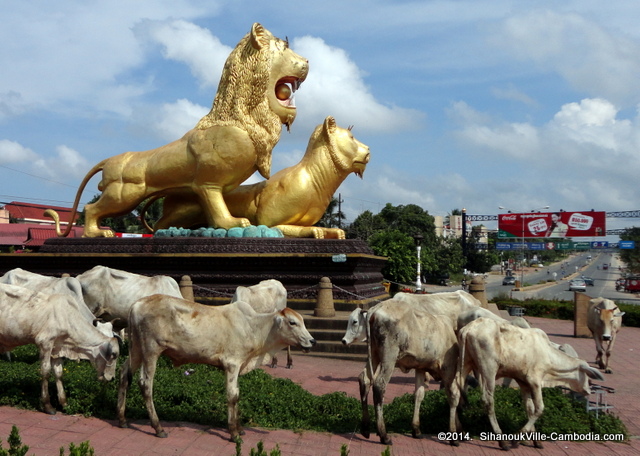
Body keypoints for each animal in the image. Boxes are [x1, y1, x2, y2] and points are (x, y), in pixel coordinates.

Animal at [0, 284, 119, 416]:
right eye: (114, 354)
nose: (112, 378)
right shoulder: (45, 343)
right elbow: (46, 371)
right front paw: (48, 406)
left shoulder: (57, 349)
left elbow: (59, 373)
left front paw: (64, 403)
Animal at [116, 296, 316, 442]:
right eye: (292, 322)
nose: (312, 341)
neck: (255, 328)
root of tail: (137, 304)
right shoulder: (232, 364)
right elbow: (232, 396)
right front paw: (234, 433)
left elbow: (237, 395)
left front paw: (240, 429)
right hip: (151, 351)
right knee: (145, 384)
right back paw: (158, 428)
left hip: (136, 349)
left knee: (125, 374)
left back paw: (122, 419)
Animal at [348, 300, 462, 446]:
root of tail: (376, 309)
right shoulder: (449, 368)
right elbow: (453, 396)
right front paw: (454, 434)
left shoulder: (420, 368)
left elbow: (419, 395)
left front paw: (416, 429)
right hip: (389, 356)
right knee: (379, 384)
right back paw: (384, 435)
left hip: (373, 355)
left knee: (364, 380)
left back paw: (366, 428)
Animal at [458, 318, 604, 448]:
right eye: (588, 377)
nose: (588, 390)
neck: (548, 355)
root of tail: (469, 328)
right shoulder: (535, 382)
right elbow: (539, 409)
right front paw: (516, 439)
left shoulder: (524, 383)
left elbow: (530, 409)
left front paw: (535, 441)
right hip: (488, 369)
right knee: (488, 400)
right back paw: (502, 441)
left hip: (465, 364)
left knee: (457, 392)